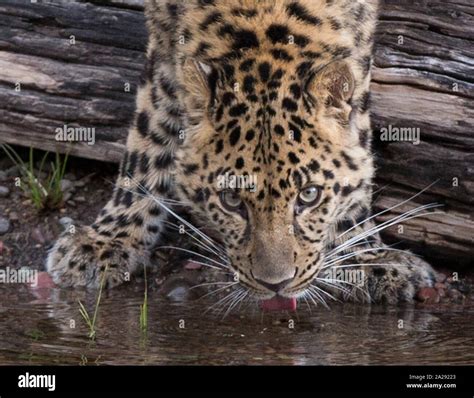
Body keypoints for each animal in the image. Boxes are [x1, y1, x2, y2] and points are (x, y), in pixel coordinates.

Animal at [46, 0, 436, 308]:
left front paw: (366, 253)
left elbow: (358, 146)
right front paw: (109, 239)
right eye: (231, 200)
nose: (276, 285)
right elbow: (149, 134)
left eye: (309, 196)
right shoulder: (163, 37)